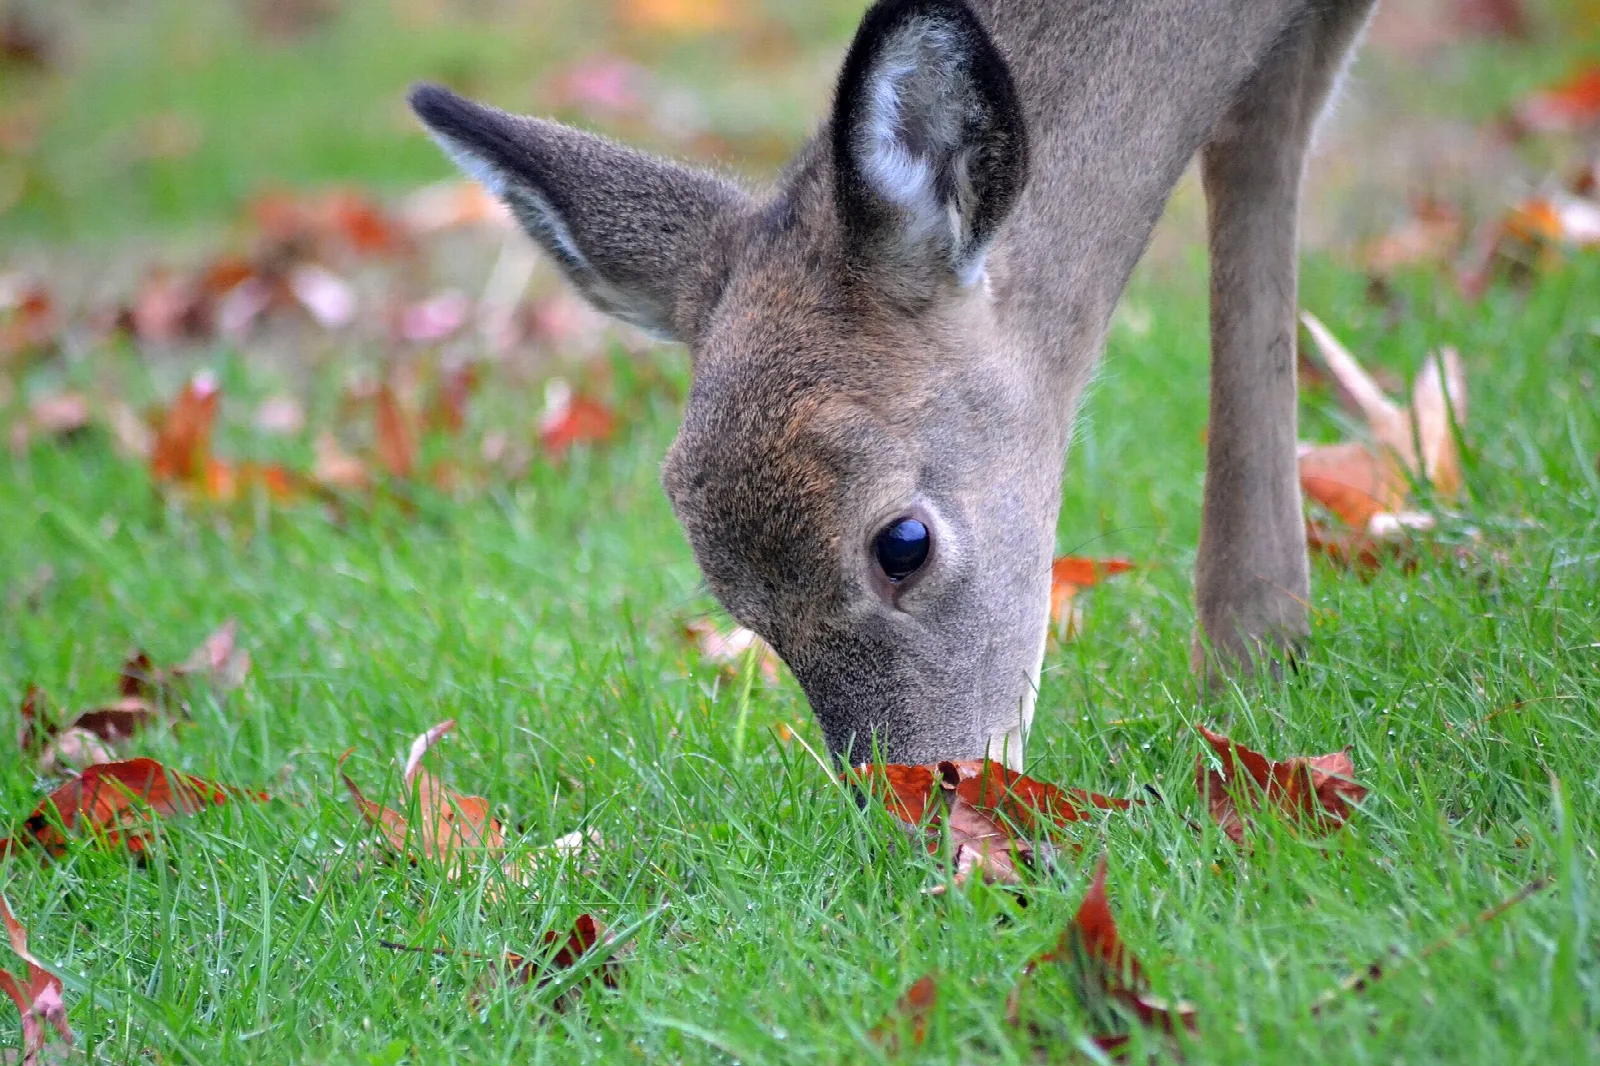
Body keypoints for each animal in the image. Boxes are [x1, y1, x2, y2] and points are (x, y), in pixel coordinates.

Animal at [409, 0, 1378, 770]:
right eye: (732, 602)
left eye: (903, 543)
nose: (912, 802)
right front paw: (1259, 658)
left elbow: (1261, 137)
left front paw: (1253, 661)